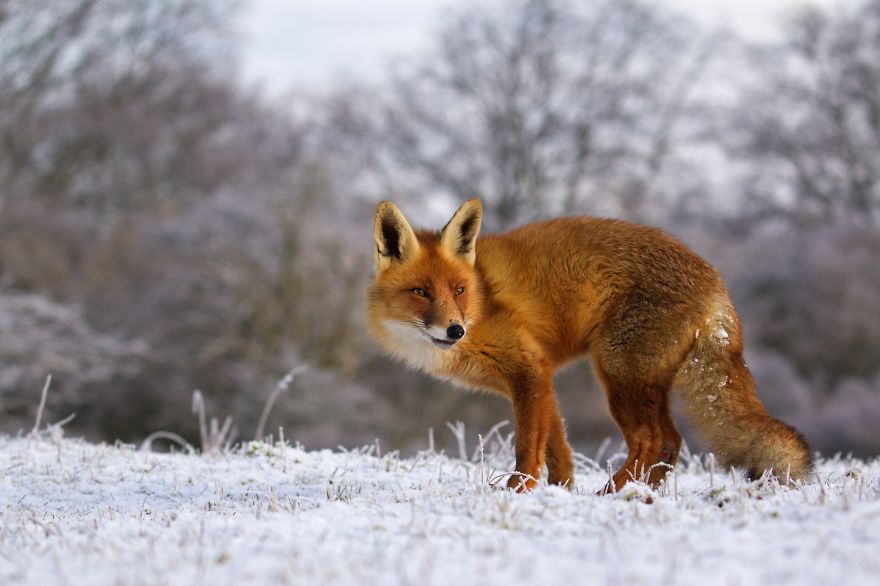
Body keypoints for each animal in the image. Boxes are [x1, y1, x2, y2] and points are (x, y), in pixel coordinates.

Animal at [366, 197, 813, 491]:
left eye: (458, 290)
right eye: (421, 292)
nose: (455, 330)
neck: (482, 301)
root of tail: (715, 279)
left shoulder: (528, 369)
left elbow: (528, 446)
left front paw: (517, 491)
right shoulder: (539, 378)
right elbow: (557, 446)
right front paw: (559, 491)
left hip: (619, 377)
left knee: (654, 441)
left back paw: (613, 494)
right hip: (642, 383)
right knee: (670, 444)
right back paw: (639, 493)